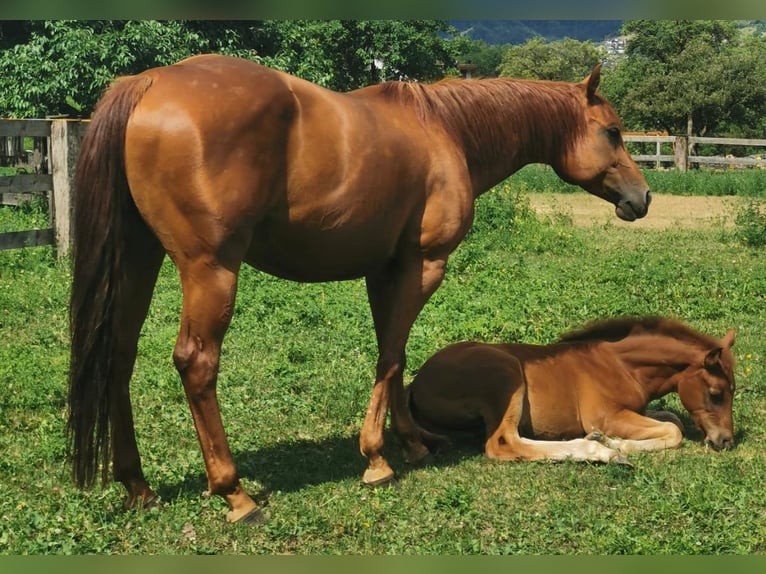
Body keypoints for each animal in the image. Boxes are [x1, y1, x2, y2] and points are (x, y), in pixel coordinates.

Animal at [67, 51, 656, 524]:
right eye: (612, 132)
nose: (643, 197)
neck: (445, 129)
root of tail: (149, 82)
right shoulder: (423, 264)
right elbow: (392, 356)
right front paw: (377, 460)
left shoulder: (385, 270)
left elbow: (392, 354)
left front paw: (414, 441)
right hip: (211, 269)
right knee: (196, 363)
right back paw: (235, 494)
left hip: (139, 260)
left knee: (118, 357)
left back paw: (138, 487)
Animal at [408, 316, 736, 464]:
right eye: (716, 393)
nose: (725, 441)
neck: (622, 366)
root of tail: (415, 385)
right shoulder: (607, 416)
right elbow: (673, 430)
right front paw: (616, 444)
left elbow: (673, 418)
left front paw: (614, 441)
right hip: (506, 372)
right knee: (503, 443)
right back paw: (598, 450)